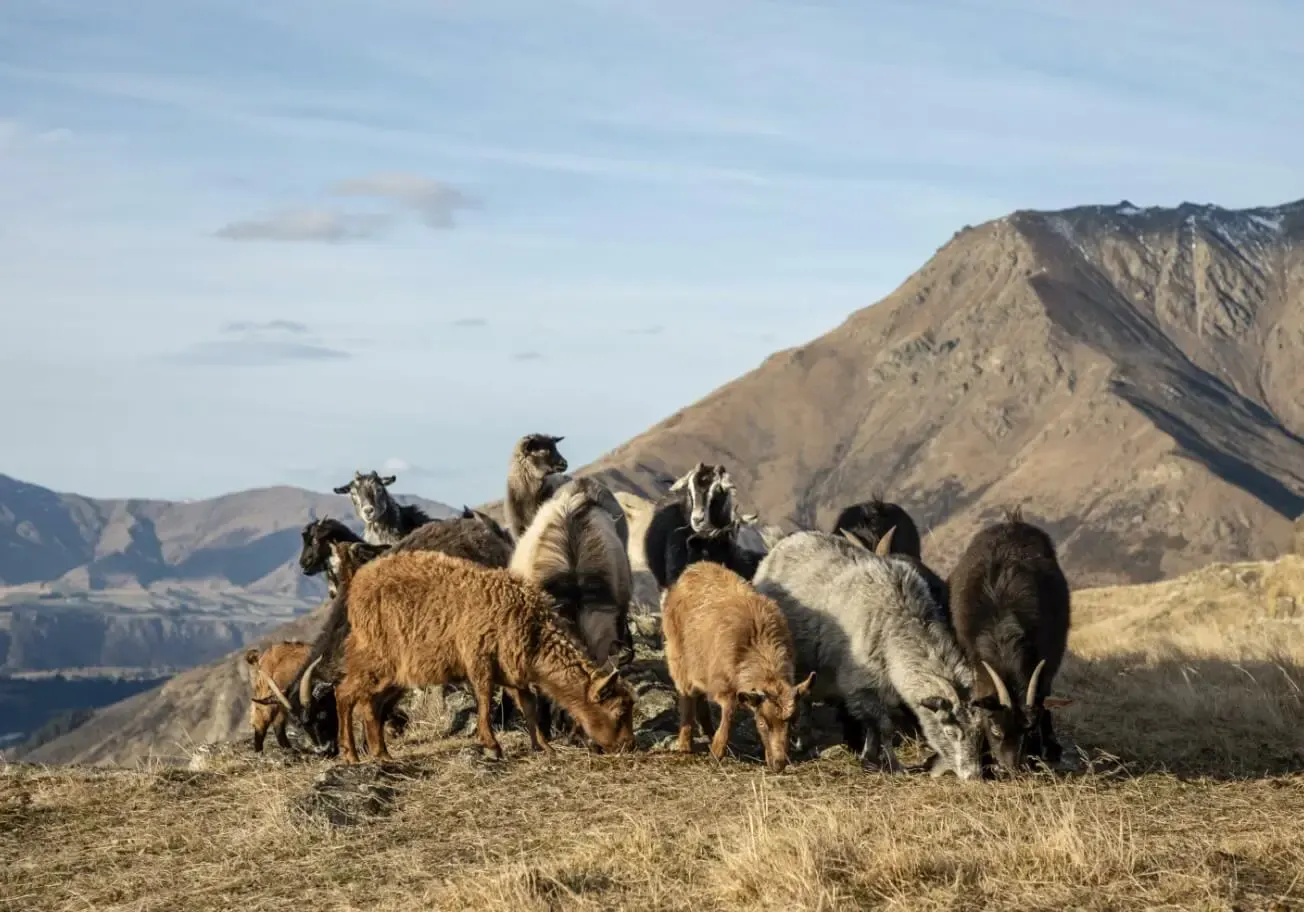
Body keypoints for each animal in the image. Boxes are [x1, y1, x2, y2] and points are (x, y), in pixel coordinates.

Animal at [323, 547, 637, 762]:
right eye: (619, 711)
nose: (628, 746)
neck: (534, 633)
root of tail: (359, 581)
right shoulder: (479, 659)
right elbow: (485, 700)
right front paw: (492, 745)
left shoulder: (513, 672)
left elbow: (529, 707)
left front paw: (543, 746)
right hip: (373, 657)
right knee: (344, 694)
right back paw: (350, 754)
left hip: (394, 674)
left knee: (371, 705)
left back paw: (382, 754)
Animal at [662, 561, 813, 771]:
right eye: (762, 723)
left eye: (792, 723)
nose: (779, 764)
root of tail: (696, 567)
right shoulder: (723, 685)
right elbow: (730, 712)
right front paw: (717, 752)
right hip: (679, 658)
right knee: (687, 697)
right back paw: (685, 745)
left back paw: (707, 730)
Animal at [751, 528, 985, 780]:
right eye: (950, 733)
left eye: (980, 732)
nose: (974, 776)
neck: (899, 622)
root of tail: (783, 541)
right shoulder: (861, 683)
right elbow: (883, 726)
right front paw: (893, 765)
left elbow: (876, 726)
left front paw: (871, 757)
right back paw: (804, 740)